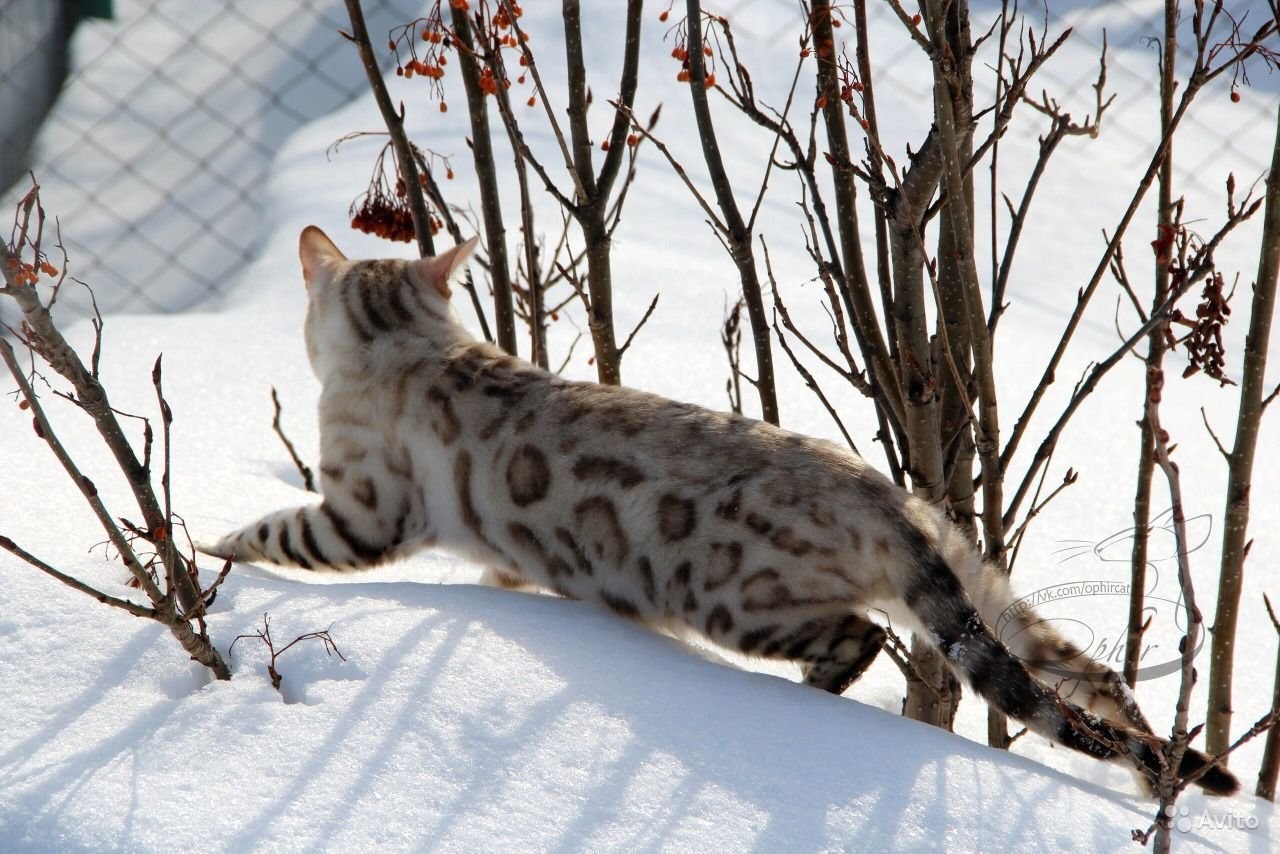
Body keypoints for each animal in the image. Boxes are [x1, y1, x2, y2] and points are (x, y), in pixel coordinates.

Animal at [204, 225, 1233, 793]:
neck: (419, 343)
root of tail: (885, 499)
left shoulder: (363, 512)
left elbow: (271, 534)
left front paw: (204, 549)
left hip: (735, 599)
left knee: (857, 639)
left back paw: (804, 702)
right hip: (987, 586)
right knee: (1091, 679)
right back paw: (1164, 770)